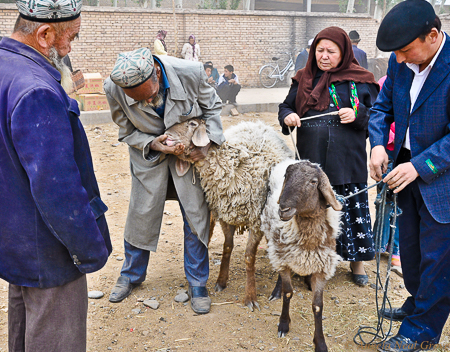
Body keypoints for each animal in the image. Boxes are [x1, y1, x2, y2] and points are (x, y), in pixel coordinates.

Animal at [163, 119, 294, 310]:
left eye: (192, 123)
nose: (166, 135)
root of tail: (259, 124)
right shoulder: (225, 214)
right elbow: (227, 247)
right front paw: (221, 281)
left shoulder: (256, 220)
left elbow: (249, 257)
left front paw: (250, 296)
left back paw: (278, 290)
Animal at [258, 160, 342, 352]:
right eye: (286, 177)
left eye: (313, 182)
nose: (283, 209)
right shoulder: (285, 259)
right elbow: (288, 293)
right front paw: (283, 324)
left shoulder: (322, 269)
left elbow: (317, 306)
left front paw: (320, 343)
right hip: (275, 246)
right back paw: (276, 291)